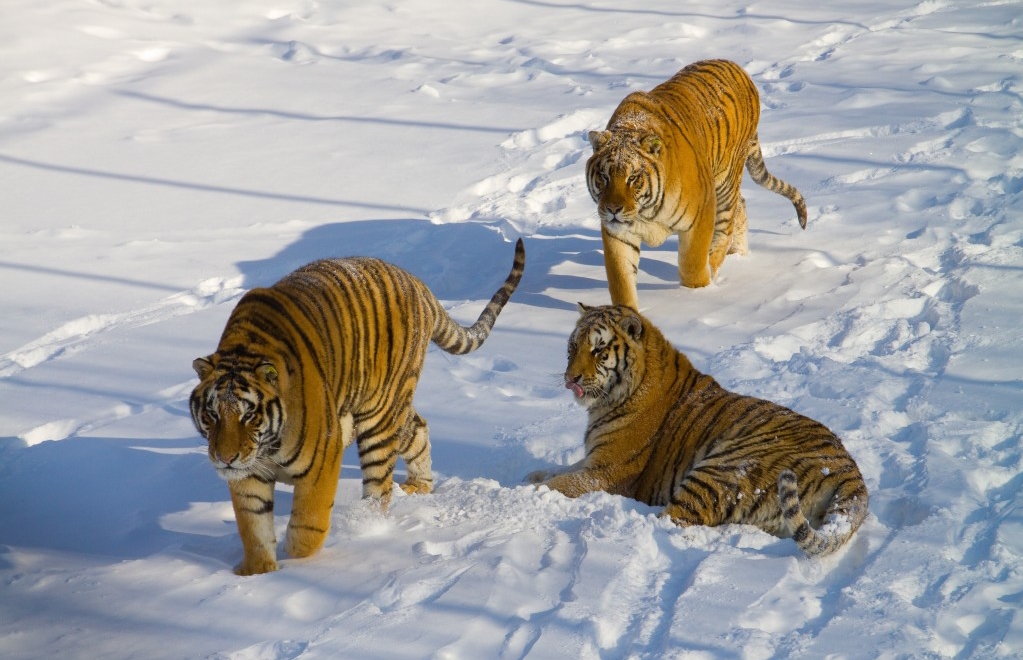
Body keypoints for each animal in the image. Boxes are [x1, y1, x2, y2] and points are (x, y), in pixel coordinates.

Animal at [191, 236, 523, 573]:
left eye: (248, 415)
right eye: (212, 414)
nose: (225, 458)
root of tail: (417, 283)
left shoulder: (323, 455)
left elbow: (309, 524)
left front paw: (297, 561)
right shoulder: (249, 473)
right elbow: (253, 525)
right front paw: (258, 571)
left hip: (379, 416)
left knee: (380, 486)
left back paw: (367, 526)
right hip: (389, 411)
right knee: (418, 429)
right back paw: (419, 485)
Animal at [527, 302, 871, 556]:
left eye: (598, 351)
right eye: (572, 347)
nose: (569, 378)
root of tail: (851, 473)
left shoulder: (607, 471)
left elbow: (562, 483)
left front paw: (530, 492)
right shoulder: (593, 460)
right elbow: (558, 471)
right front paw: (532, 475)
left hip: (722, 468)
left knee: (673, 519)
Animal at [589, 57, 810, 309]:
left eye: (632, 177)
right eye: (604, 176)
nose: (612, 209)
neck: (645, 212)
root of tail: (737, 67)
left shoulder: (702, 211)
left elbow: (692, 266)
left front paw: (699, 294)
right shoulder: (618, 234)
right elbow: (621, 281)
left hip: (725, 182)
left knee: (726, 225)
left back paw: (717, 267)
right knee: (741, 205)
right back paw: (739, 255)